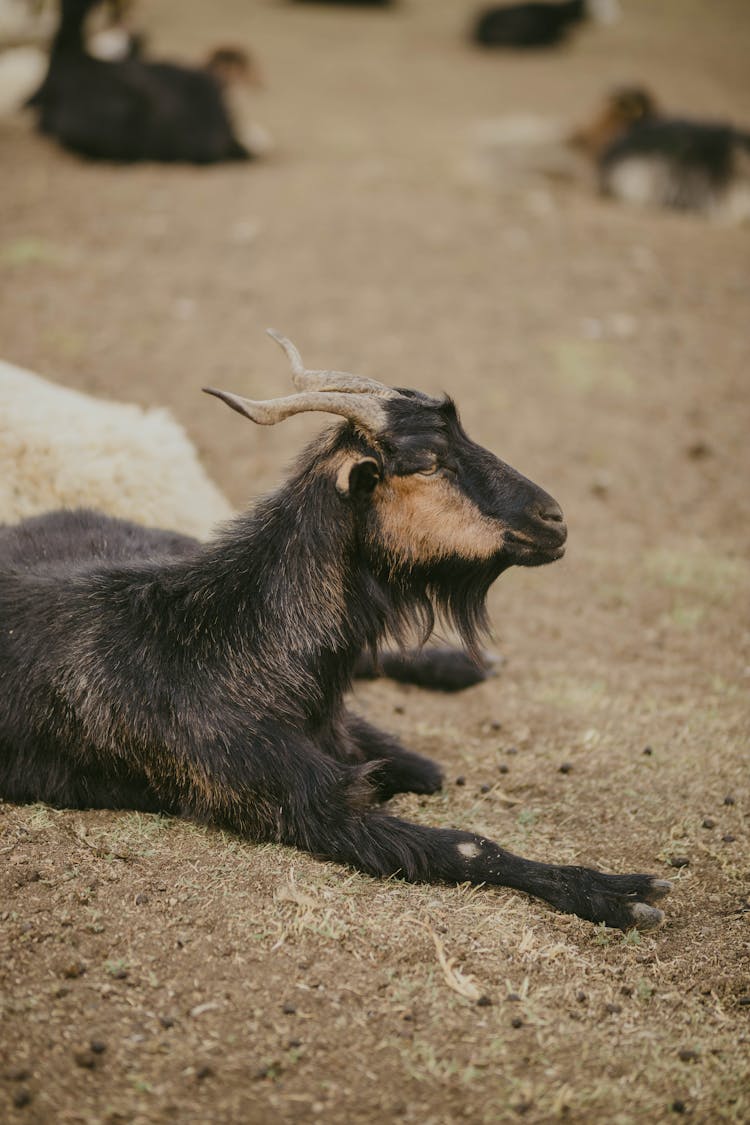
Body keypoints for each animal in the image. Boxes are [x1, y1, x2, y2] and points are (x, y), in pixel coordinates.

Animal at [0, 333, 670, 931]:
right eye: (431, 462)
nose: (554, 519)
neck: (230, 639)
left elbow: (427, 769)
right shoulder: (299, 801)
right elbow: (464, 845)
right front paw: (620, 893)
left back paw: (460, 664)